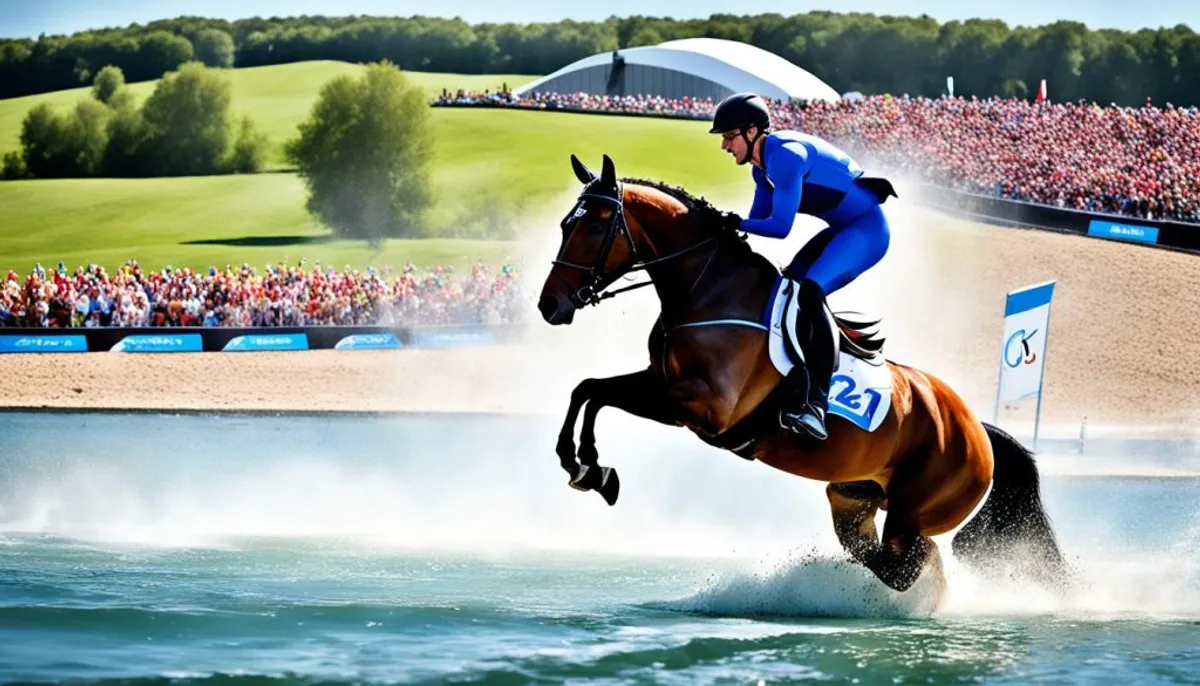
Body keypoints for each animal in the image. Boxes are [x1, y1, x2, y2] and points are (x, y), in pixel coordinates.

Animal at [537, 152, 1070, 597]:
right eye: (564, 224)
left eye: (594, 229)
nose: (550, 305)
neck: (708, 291)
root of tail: (977, 427)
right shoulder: (660, 383)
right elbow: (587, 390)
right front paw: (586, 468)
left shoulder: (702, 406)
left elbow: (600, 395)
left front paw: (589, 465)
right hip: (852, 496)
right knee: (886, 555)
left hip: (916, 507)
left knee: (914, 559)